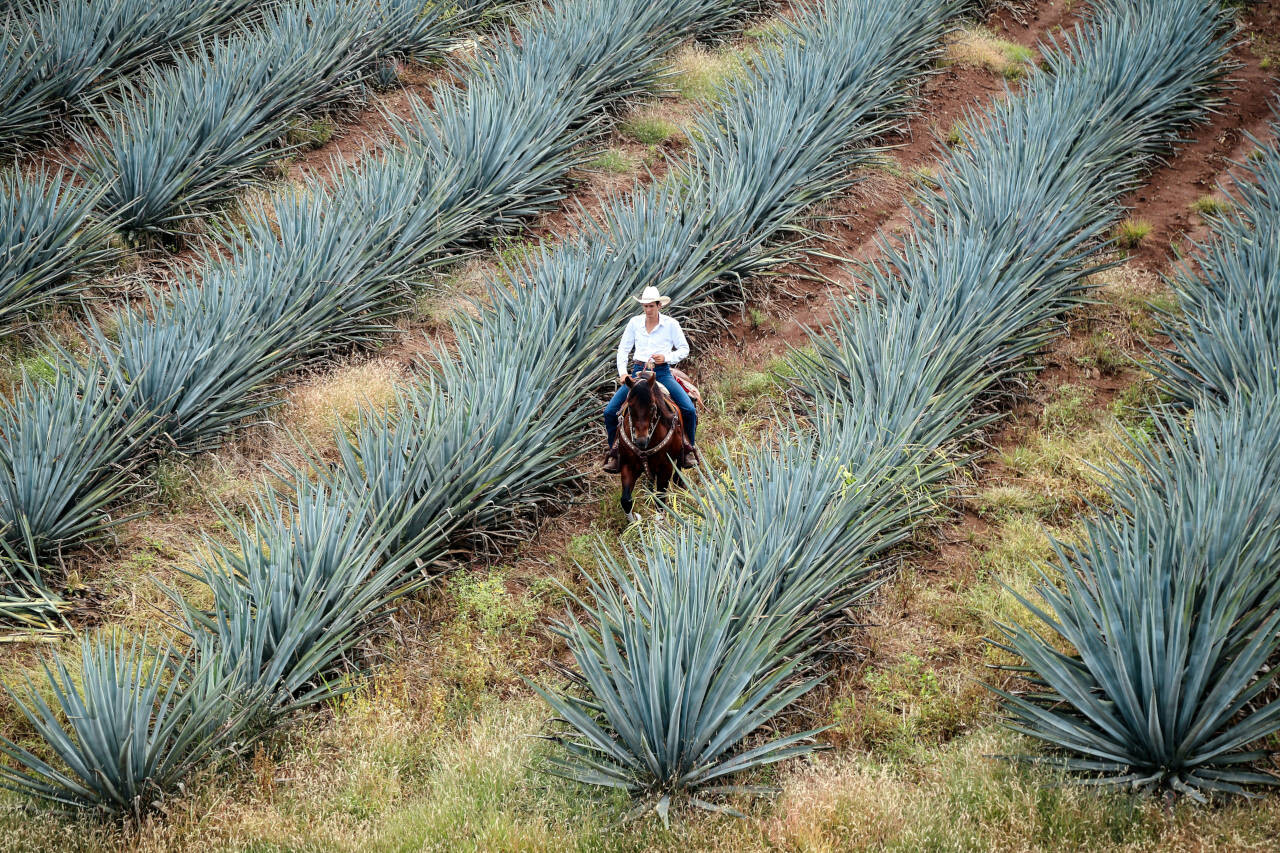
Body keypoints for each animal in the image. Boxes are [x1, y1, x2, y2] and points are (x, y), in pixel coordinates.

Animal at [614, 371, 686, 522]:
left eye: (653, 406)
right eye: (630, 407)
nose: (641, 441)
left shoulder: (666, 468)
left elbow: (660, 501)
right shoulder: (628, 466)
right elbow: (626, 500)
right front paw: (634, 523)